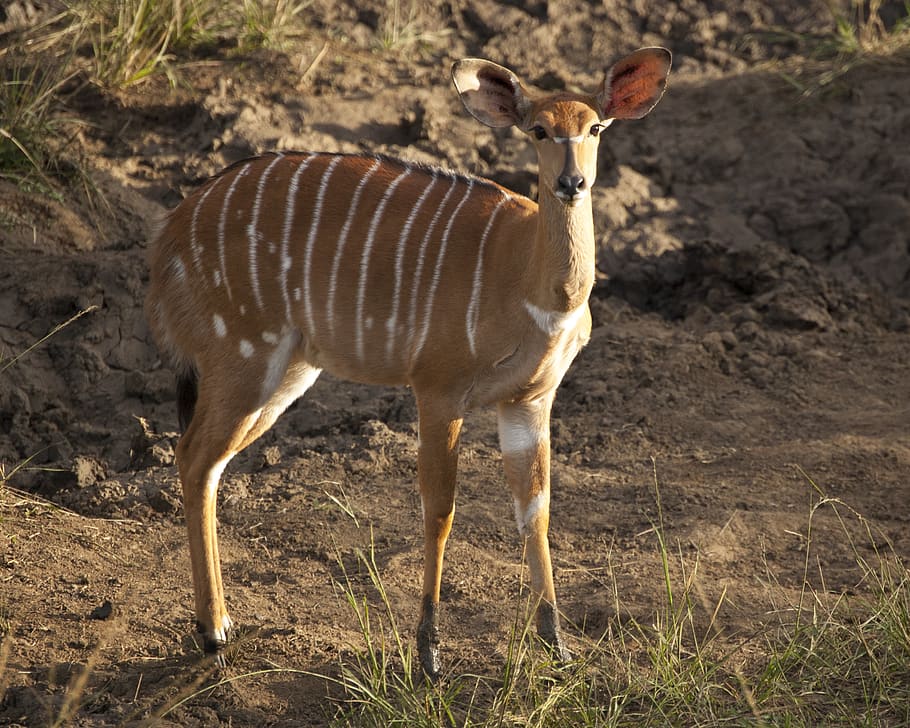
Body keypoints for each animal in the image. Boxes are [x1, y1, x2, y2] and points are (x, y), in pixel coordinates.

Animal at [145, 47, 671, 680]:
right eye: (539, 130)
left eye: (594, 128)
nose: (572, 182)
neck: (528, 279)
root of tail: (168, 235)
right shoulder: (438, 389)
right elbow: (440, 509)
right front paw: (429, 651)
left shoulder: (529, 400)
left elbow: (535, 510)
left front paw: (557, 645)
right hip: (243, 355)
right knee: (194, 455)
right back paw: (214, 630)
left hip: (287, 371)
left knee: (208, 462)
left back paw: (218, 624)